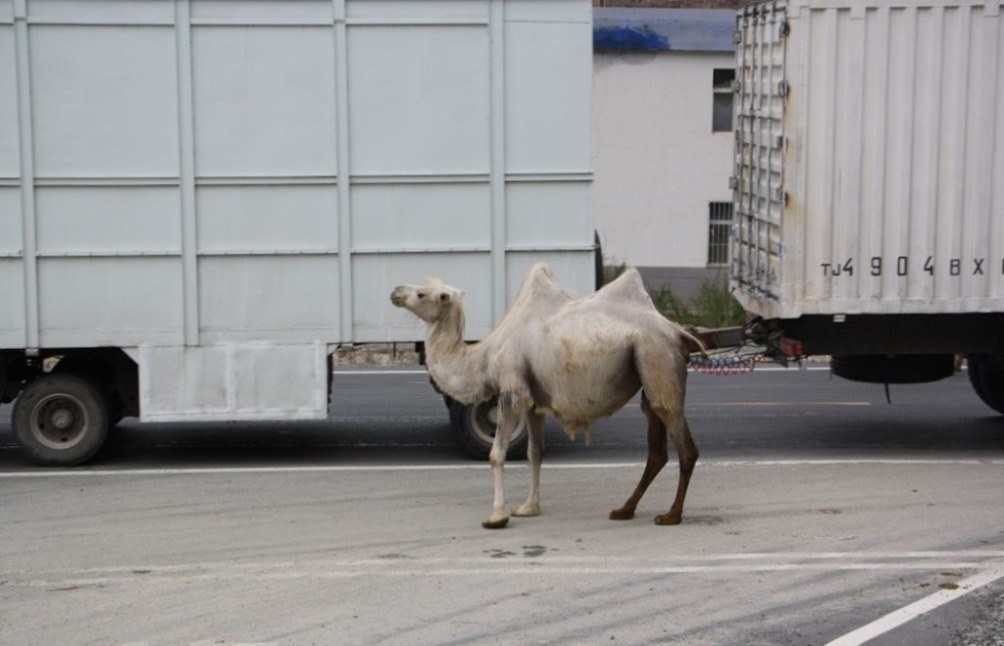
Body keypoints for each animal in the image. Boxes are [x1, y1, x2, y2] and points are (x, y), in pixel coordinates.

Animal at [387, 263, 702, 530]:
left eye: (421, 293)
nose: (396, 291)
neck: (484, 357)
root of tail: (677, 332)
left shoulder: (511, 391)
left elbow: (496, 454)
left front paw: (497, 515)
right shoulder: (533, 402)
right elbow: (534, 453)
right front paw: (528, 507)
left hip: (657, 359)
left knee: (685, 445)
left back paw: (671, 515)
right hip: (649, 375)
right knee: (657, 448)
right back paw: (625, 510)